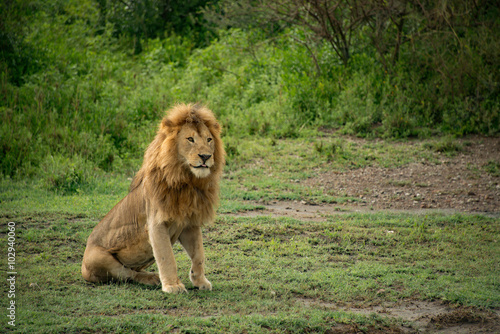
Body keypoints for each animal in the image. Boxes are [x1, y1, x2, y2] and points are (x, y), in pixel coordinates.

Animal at [81, 103, 226, 292]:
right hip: (97, 258)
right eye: (190, 139)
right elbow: (167, 257)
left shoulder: (189, 223)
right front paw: (173, 286)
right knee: (127, 274)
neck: (187, 181)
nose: (206, 156)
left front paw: (200, 281)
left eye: (209, 140)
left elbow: (198, 254)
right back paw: (152, 278)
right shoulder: (156, 223)